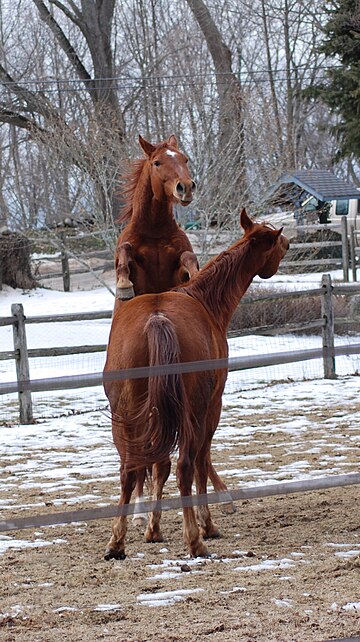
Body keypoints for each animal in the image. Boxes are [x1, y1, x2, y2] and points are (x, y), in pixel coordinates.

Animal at [102, 208, 288, 556]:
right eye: (276, 238)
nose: (287, 242)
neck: (204, 299)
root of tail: (157, 319)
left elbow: (158, 466)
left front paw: (153, 529)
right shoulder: (213, 407)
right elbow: (200, 464)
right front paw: (206, 523)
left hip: (126, 418)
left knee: (130, 471)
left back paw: (117, 542)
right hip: (194, 414)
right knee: (187, 465)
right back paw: (195, 539)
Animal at [113, 134, 233, 516]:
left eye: (184, 158)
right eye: (157, 163)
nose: (186, 187)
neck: (154, 231)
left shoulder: (180, 256)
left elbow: (190, 259)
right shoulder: (128, 251)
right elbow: (124, 256)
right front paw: (123, 285)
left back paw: (221, 494)